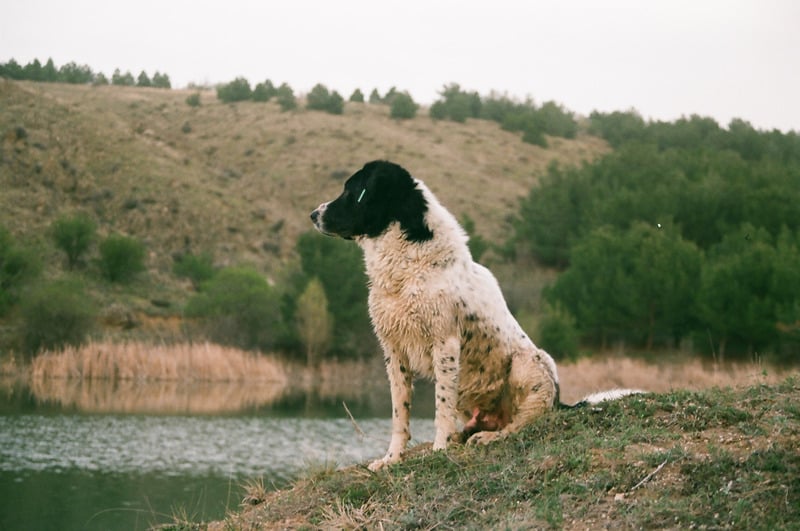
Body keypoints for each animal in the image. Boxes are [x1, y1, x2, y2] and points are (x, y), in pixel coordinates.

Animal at [312, 160, 636, 472]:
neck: (407, 267)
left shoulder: (445, 343)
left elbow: (441, 407)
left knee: (522, 422)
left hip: (530, 363)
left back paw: (487, 437)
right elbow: (399, 414)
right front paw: (392, 459)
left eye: (351, 191)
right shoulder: (393, 352)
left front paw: (439, 449)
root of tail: (561, 402)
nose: (313, 214)